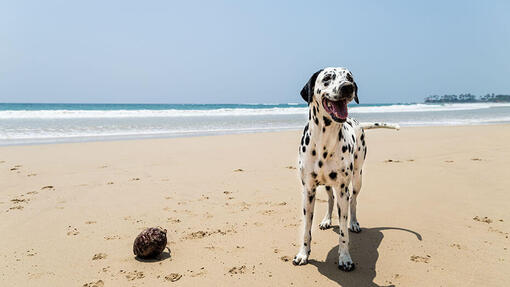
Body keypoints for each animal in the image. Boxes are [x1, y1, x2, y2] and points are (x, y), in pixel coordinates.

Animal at [290, 67, 398, 272]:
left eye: (349, 77)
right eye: (327, 78)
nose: (348, 87)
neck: (324, 141)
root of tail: (356, 122)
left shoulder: (342, 191)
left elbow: (343, 233)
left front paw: (345, 258)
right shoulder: (308, 191)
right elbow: (306, 229)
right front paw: (303, 254)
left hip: (357, 179)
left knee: (353, 201)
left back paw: (354, 223)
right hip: (327, 185)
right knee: (330, 200)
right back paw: (326, 220)